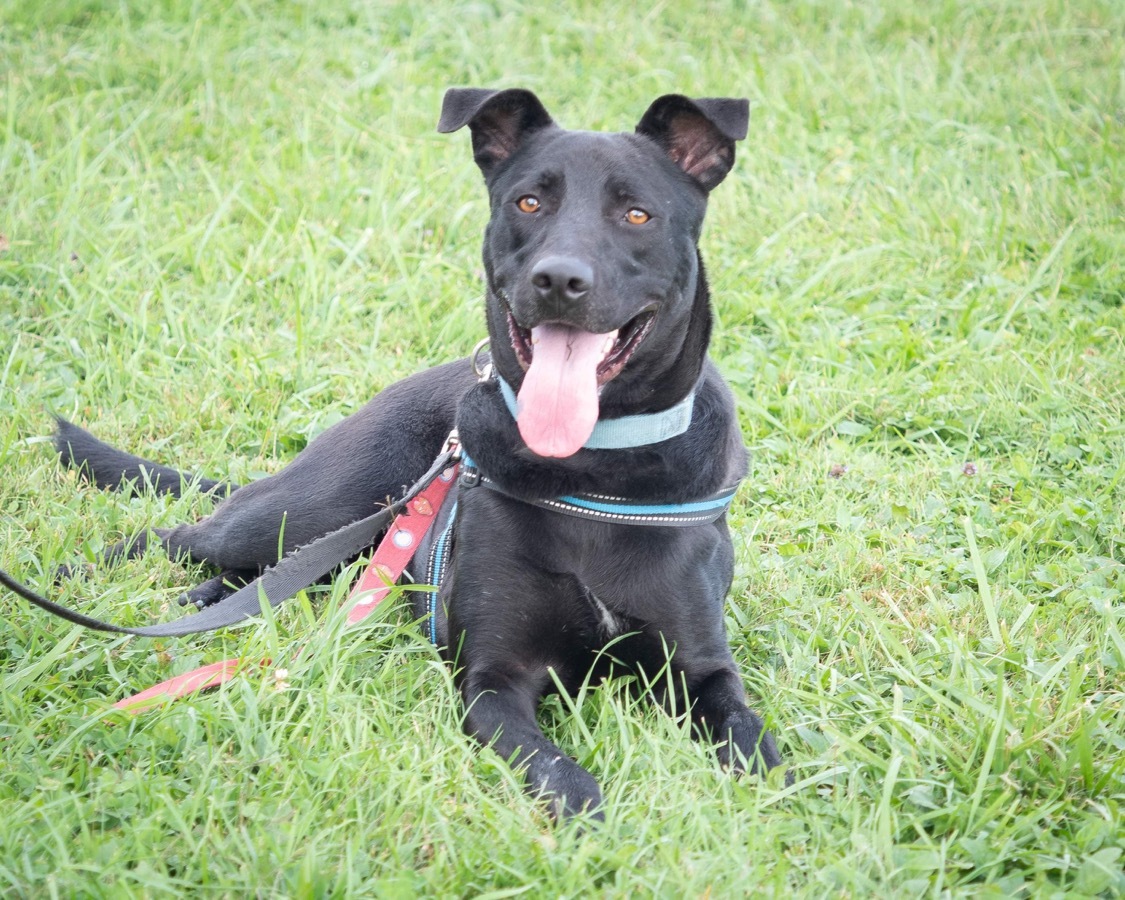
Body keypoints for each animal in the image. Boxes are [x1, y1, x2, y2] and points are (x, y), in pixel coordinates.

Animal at [50, 87, 783, 819]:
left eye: (636, 214)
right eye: (528, 203)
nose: (559, 280)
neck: (593, 471)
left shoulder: (700, 668)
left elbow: (752, 738)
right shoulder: (495, 679)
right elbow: (562, 777)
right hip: (309, 507)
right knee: (175, 537)